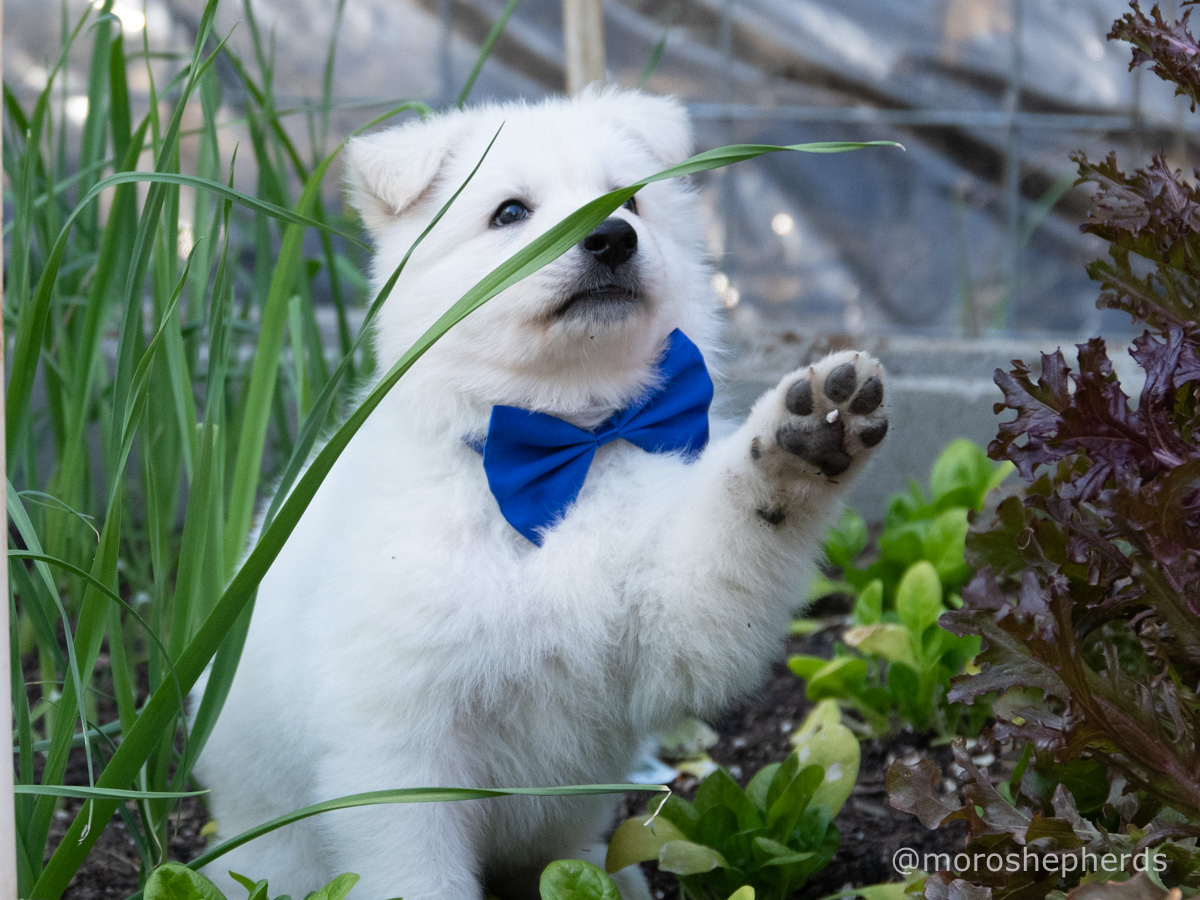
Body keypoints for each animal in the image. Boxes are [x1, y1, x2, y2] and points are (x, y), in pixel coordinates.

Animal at [196, 90, 888, 900]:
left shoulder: (670, 625)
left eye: (632, 199)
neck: (563, 444)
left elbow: (731, 539)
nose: (613, 236)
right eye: (510, 213)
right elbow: (418, 873)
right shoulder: (399, 748)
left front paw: (803, 440)